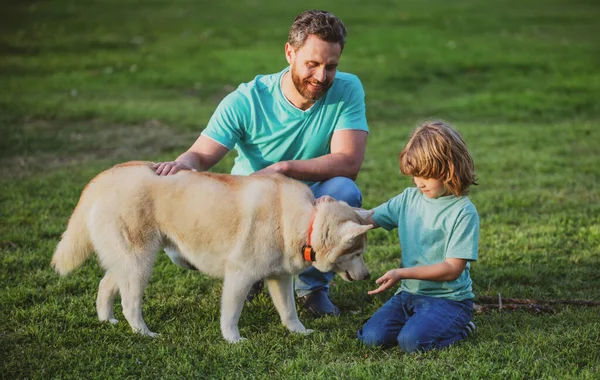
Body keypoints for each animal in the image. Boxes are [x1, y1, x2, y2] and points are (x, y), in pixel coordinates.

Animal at [51, 162, 372, 342]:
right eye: (357, 253)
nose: (369, 276)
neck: (304, 221)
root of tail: (106, 175)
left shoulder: (280, 278)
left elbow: (289, 311)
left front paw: (298, 332)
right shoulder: (239, 276)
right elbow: (230, 315)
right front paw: (233, 340)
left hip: (127, 261)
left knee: (105, 285)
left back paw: (107, 321)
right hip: (140, 262)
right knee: (130, 303)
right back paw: (144, 333)